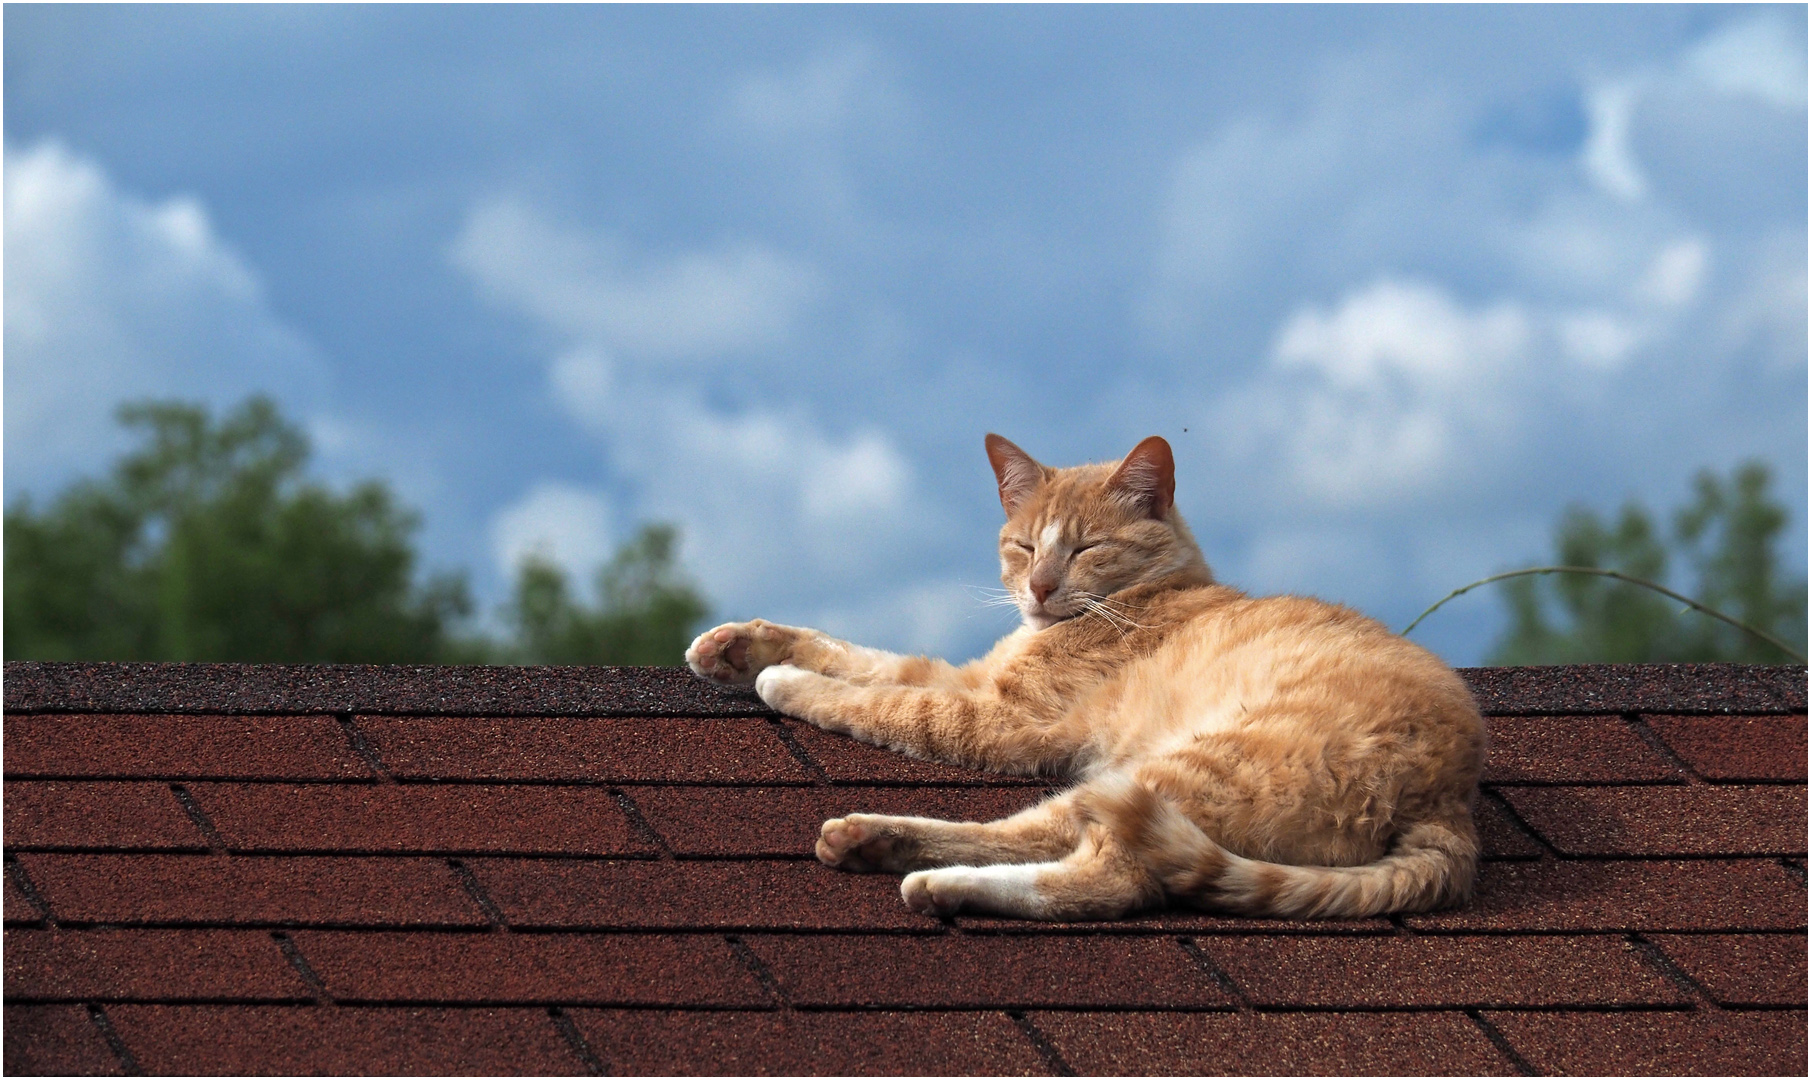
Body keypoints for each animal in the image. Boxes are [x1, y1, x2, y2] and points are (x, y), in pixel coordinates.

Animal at [684, 433, 1477, 920]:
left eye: (1087, 547)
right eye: (1023, 545)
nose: (1037, 588)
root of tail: (1449, 801)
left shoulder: (1002, 718)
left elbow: (881, 699)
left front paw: (781, 680)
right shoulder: (970, 677)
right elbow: (864, 656)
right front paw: (737, 645)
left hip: (1165, 776)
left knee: (1098, 875)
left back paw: (929, 875)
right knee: (1043, 841)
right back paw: (879, 844)